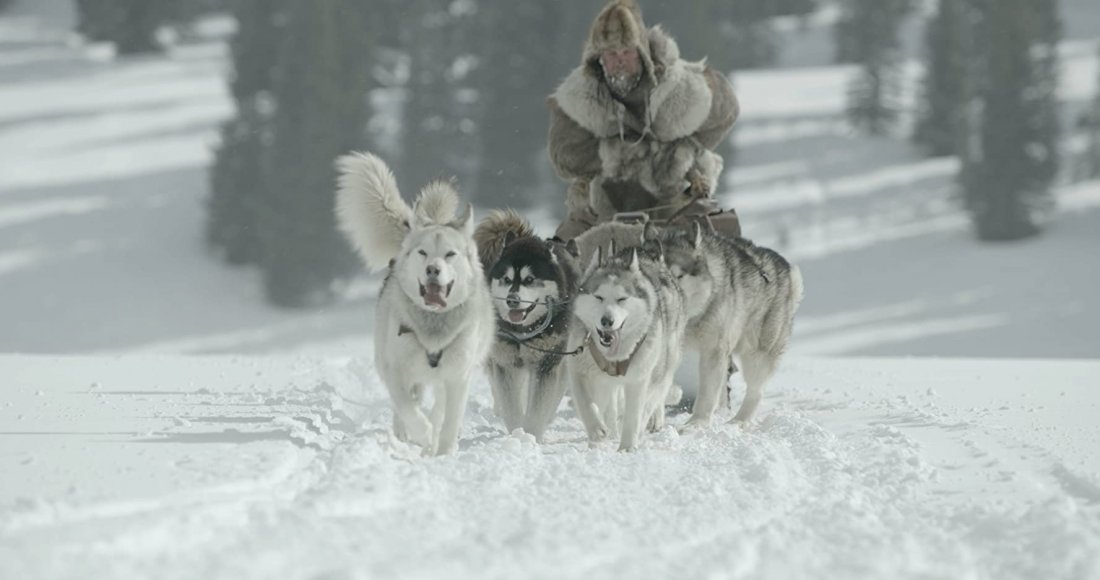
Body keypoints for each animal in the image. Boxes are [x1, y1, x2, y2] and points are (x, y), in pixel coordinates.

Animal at [332, 151, 492, 455]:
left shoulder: (457, 377)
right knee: (407, 405)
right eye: (423, 253)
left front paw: (443, 452)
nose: (433, 269)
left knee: (438, 407)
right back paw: (405, 435)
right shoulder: (396, 370)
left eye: (450, 254)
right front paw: (422, 435)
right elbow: (407, 407)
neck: (433, 325)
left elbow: (449, 418)